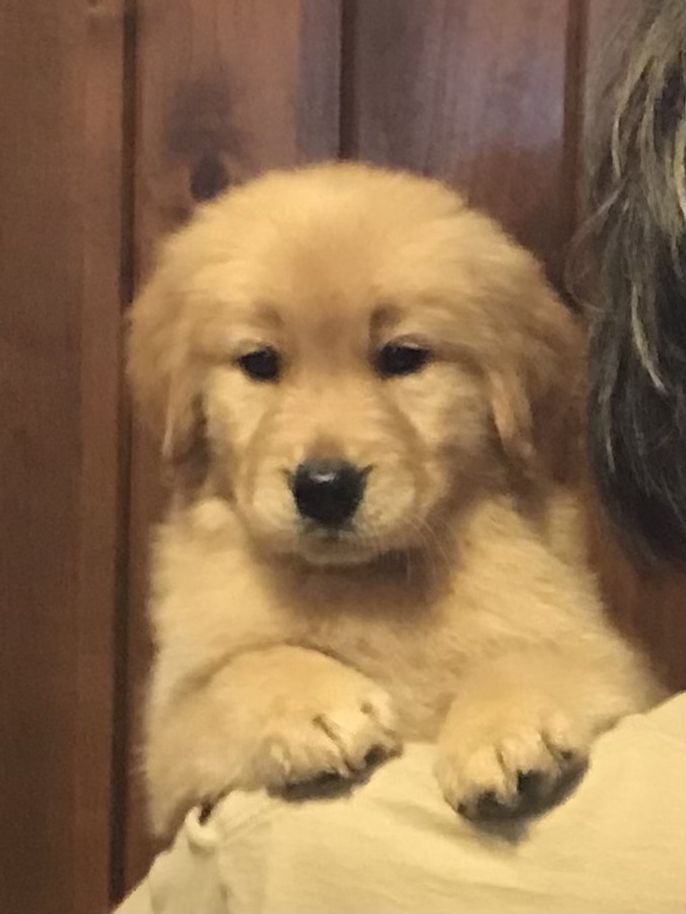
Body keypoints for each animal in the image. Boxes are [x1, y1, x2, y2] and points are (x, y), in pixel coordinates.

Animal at [128, 163, 660, 836]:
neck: (371, 586)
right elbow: (237, 669)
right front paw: (312, 705)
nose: (325, 489)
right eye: (260, 362)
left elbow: (534, 656)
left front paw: (503, 727)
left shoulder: (607, 661)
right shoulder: (170, 751)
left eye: (403, 357)